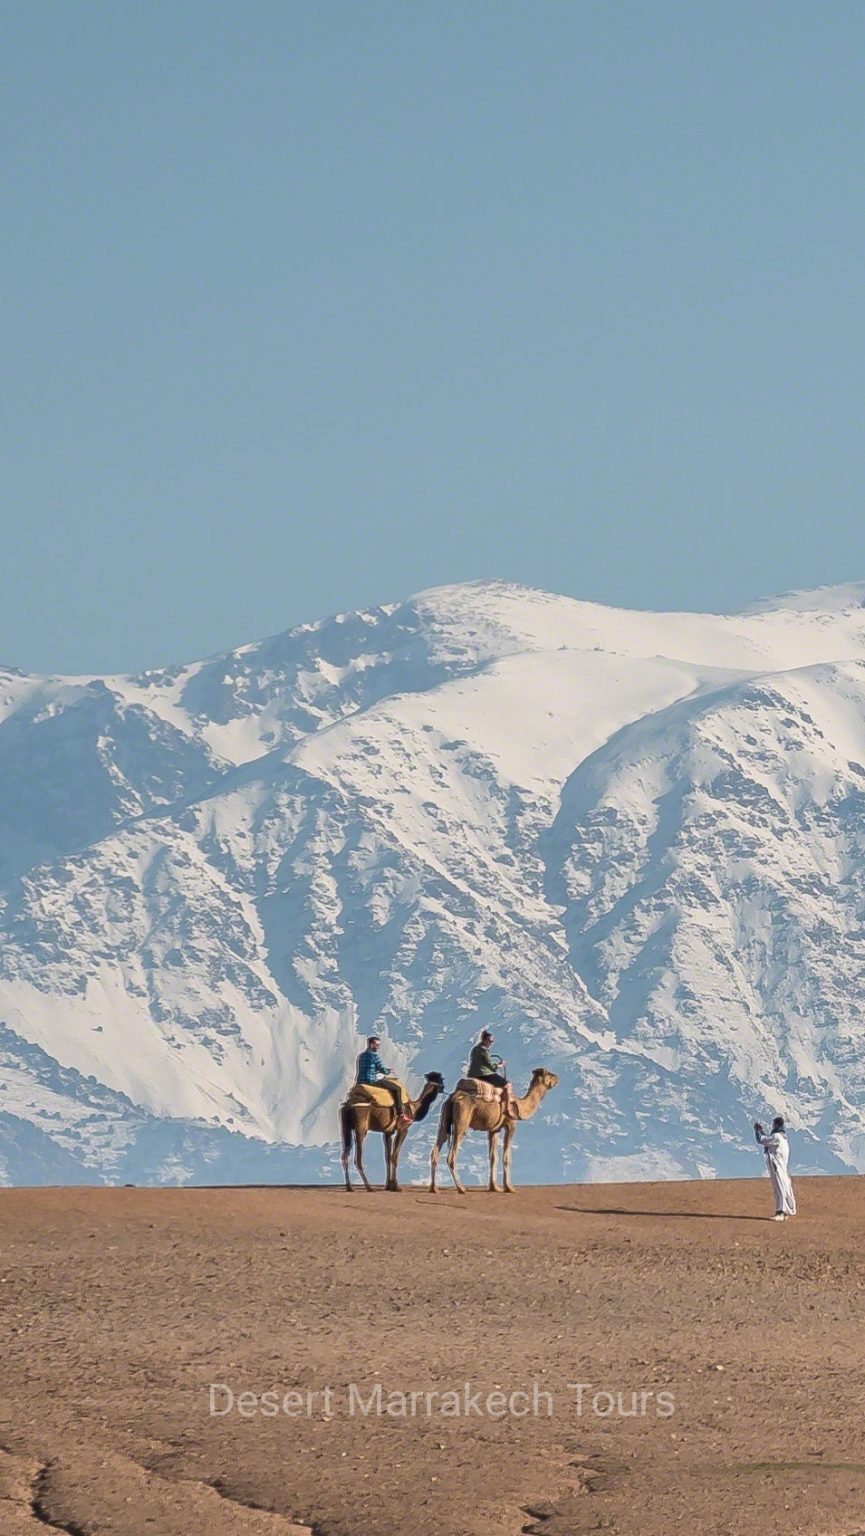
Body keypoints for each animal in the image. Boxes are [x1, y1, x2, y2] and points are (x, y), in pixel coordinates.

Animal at [427, 1075, 562, 1191]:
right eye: (550, 1075)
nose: (558, 1078)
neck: (520, 1106)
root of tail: (453, 1098)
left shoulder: (494, 1129)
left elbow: (493, 1157)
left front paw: (494, 1187)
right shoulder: (511, 1125)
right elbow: (506, 1157)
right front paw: (509, 1188)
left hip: (444, 1118)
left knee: (437, 1147)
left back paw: (434, 1188)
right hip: (461, 1120)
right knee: (452, 1154)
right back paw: (461, 1188)